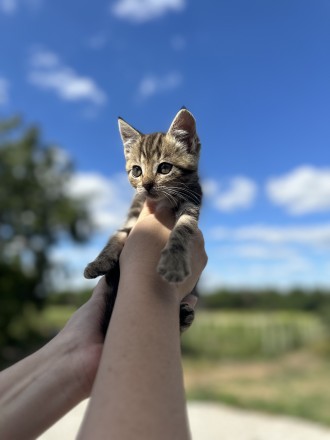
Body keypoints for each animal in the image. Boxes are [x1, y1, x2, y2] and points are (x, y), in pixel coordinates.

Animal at [84, 108, 202, 332]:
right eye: (137, 171)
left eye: (164, 168)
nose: (146, 185)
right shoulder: (133, 214)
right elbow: (118, 235)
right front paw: (99, 262)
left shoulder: (191, 203)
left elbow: (183, 229)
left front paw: (173, 263)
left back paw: (184, 316)